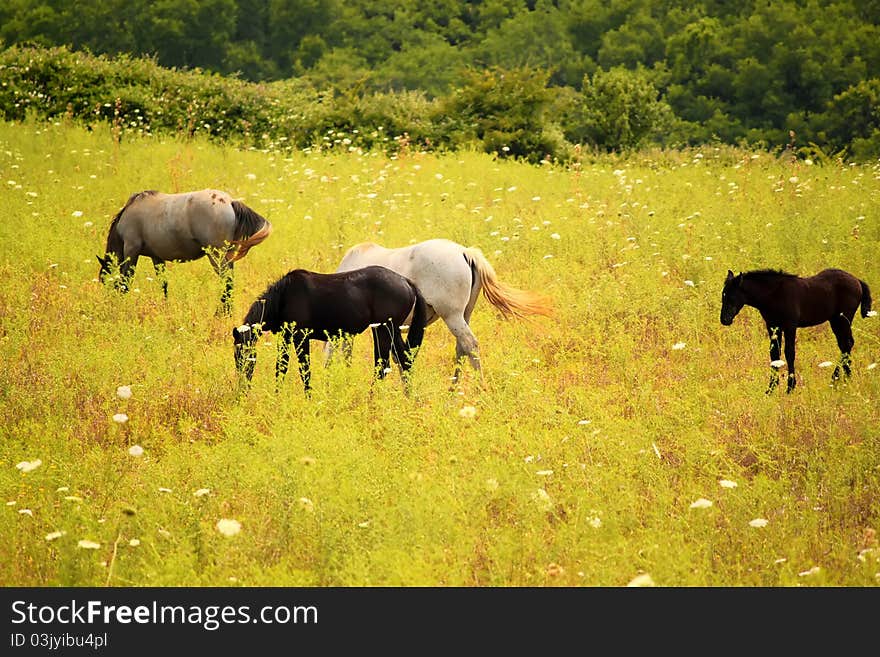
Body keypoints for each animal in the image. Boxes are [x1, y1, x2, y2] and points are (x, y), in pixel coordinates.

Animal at [96, 188, 272, 314]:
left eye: (104, 280)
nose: (108, 303)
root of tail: (230, 202)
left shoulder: (131, 250)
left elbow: (126, 281)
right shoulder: (156, 257)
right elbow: (163, 284)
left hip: (216, 256)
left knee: (227, 282)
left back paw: (221, 313)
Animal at [232, 266, 428, 392]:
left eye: (242, 355)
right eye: (236, 355)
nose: (242, 388)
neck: (283, 297)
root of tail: (407, 282)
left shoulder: (300, 337)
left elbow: (305, 371)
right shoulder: (286, 337)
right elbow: (281, 368)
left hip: (384, 330)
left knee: (385, 366)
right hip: (390, 331)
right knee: (403, 362)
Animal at [326, 238, 552, 382]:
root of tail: (464, 252)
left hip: (452, 316)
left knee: (470, 345)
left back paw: (480, 388)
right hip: (464, 315)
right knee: (462, 348)